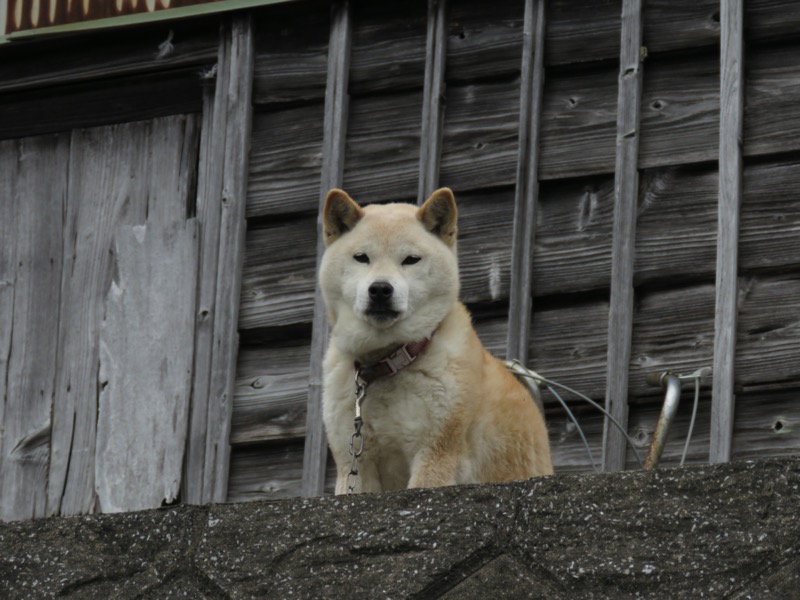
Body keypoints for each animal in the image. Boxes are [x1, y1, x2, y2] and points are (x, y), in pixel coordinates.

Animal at [318, 188, 552, 492]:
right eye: (361, 257)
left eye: (410, 259)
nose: (380, 288)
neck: (387, 361)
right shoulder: (355, 462)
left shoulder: (437, 450)